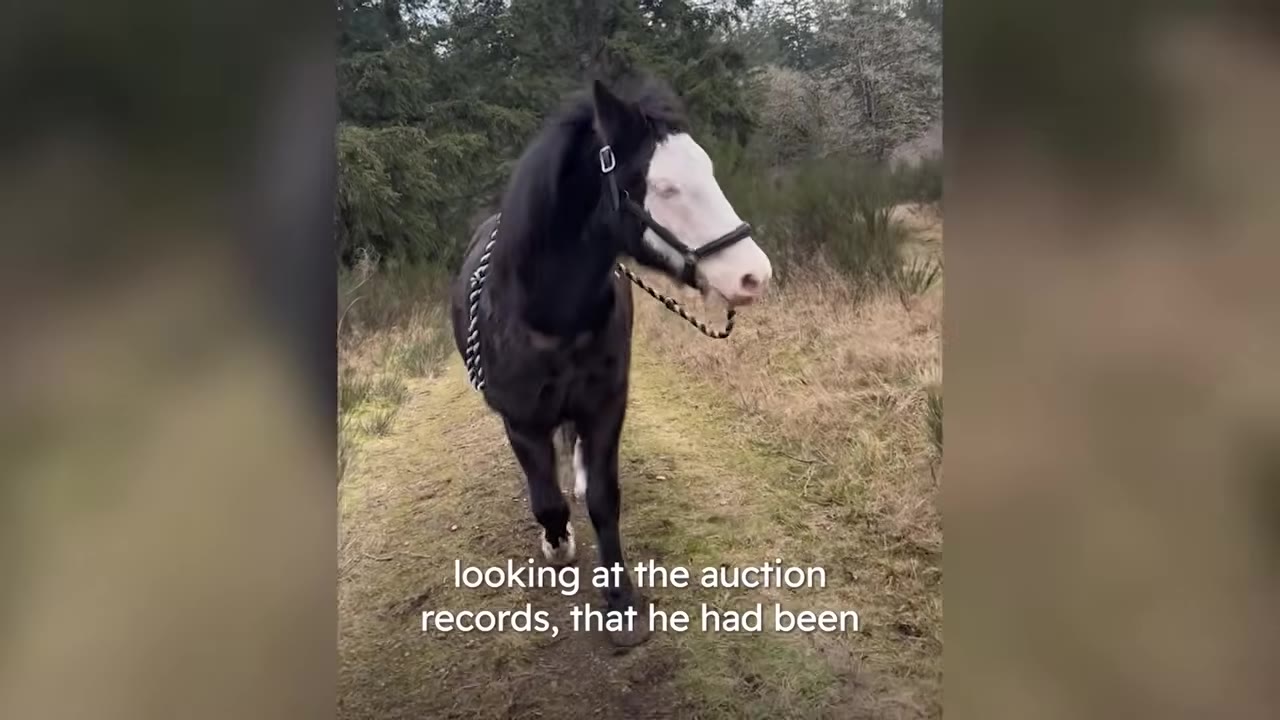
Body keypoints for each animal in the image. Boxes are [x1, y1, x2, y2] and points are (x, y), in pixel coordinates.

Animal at [449, 75, 772, 646]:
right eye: (663, 188)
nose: (754, 275)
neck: (547, 314)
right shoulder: (521, 421)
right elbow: (546, 500)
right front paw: (557, 543)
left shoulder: (605, 405)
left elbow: (603, 498)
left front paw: (621, 602)